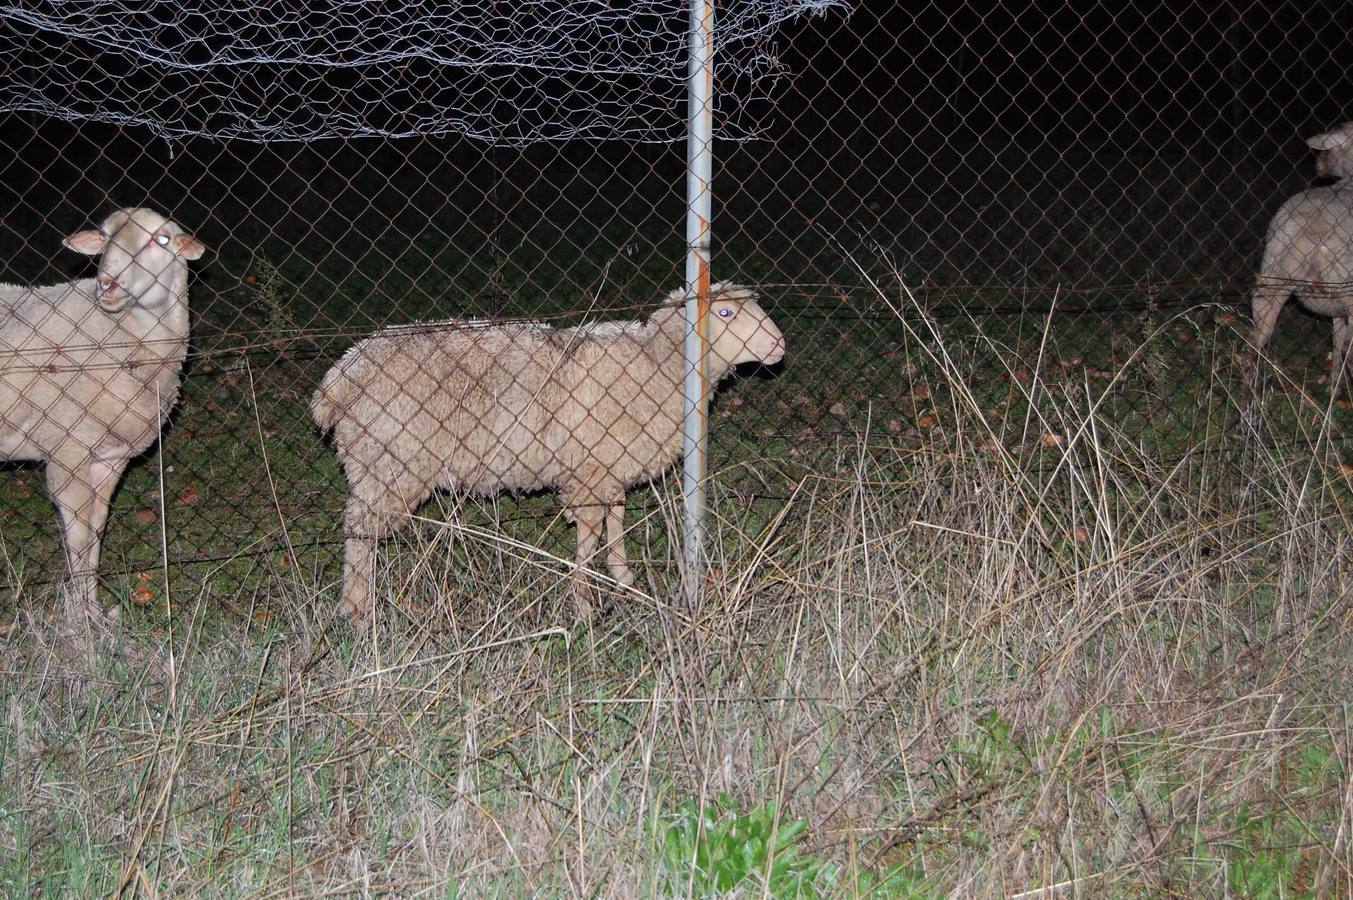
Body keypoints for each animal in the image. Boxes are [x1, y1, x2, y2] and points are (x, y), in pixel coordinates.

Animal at [0, 207, 205, 627]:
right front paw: (81, 621)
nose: (107, 282)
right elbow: (79, 535)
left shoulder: (109, 458)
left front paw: (95, 610)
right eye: (105, 237)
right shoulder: (67, 449)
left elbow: (96, 531)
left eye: (161, 239)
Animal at [311, 281, 786, 621]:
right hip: (389, 462)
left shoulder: (607, 464)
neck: (658, 365)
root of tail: (338, 379)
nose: (780, 344)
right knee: (359, 529)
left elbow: (615, 520)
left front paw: (623, 578)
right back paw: (356, 609)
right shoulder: (590, 471)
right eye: (725, 313)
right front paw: (584, 603)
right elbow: (589, 533)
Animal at [1245, 126, 1353, 403]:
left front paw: (1332, 386)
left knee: (1253, 343)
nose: (1318, 164)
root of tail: (1308, 234)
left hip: (1271, 280)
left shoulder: (1337, 309)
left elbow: (1337, 341)